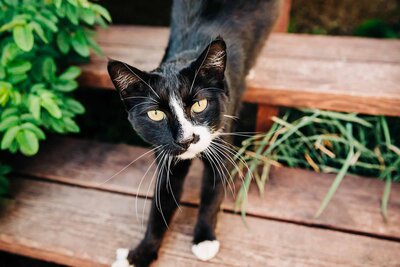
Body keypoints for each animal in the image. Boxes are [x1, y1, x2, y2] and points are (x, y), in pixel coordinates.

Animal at [108, 1, 280, 266]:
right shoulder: (166, 157)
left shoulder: (222, 143)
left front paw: (204, 240)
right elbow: (161, 203)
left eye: (200, 104)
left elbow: (211, 194)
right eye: (155, 114)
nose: (186, 139)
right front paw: (139, 255)